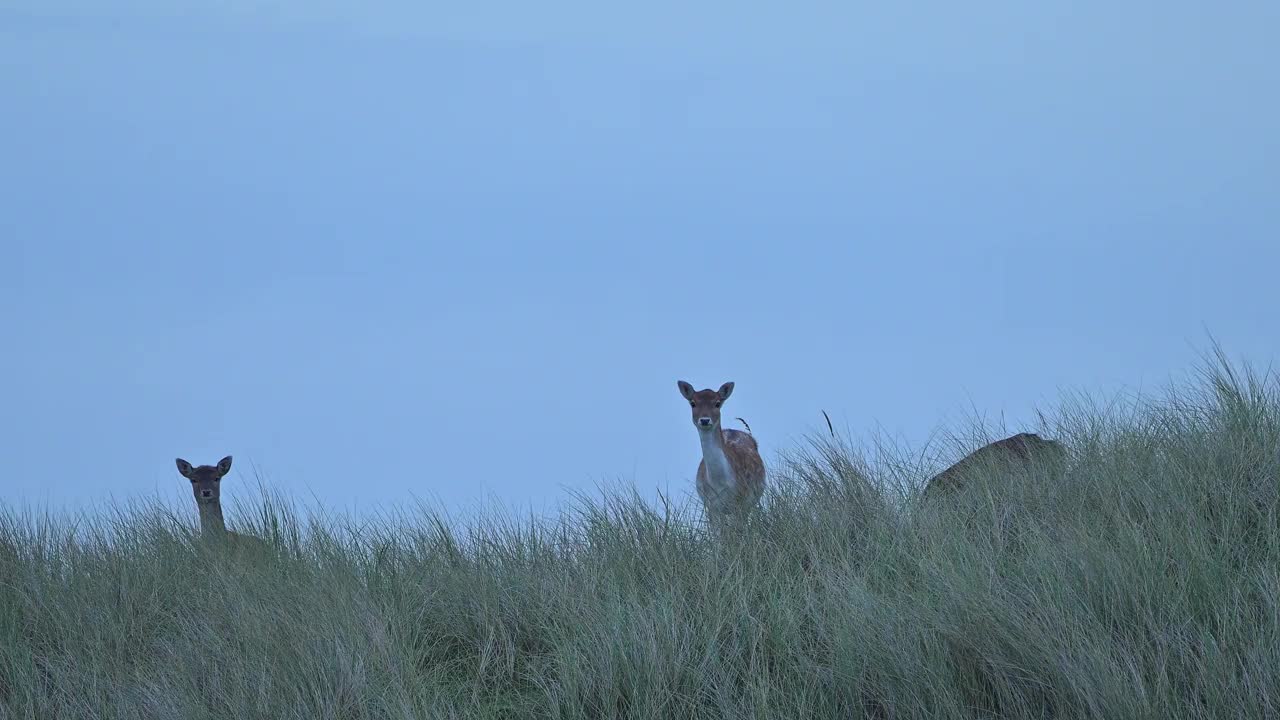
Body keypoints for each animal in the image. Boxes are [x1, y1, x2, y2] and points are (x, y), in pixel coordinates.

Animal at [675, 381, 762, 527]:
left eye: (717, 403)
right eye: (693, 403)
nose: (705, 420)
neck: (719, 484)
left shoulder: (740, 501)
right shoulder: (711, 506)